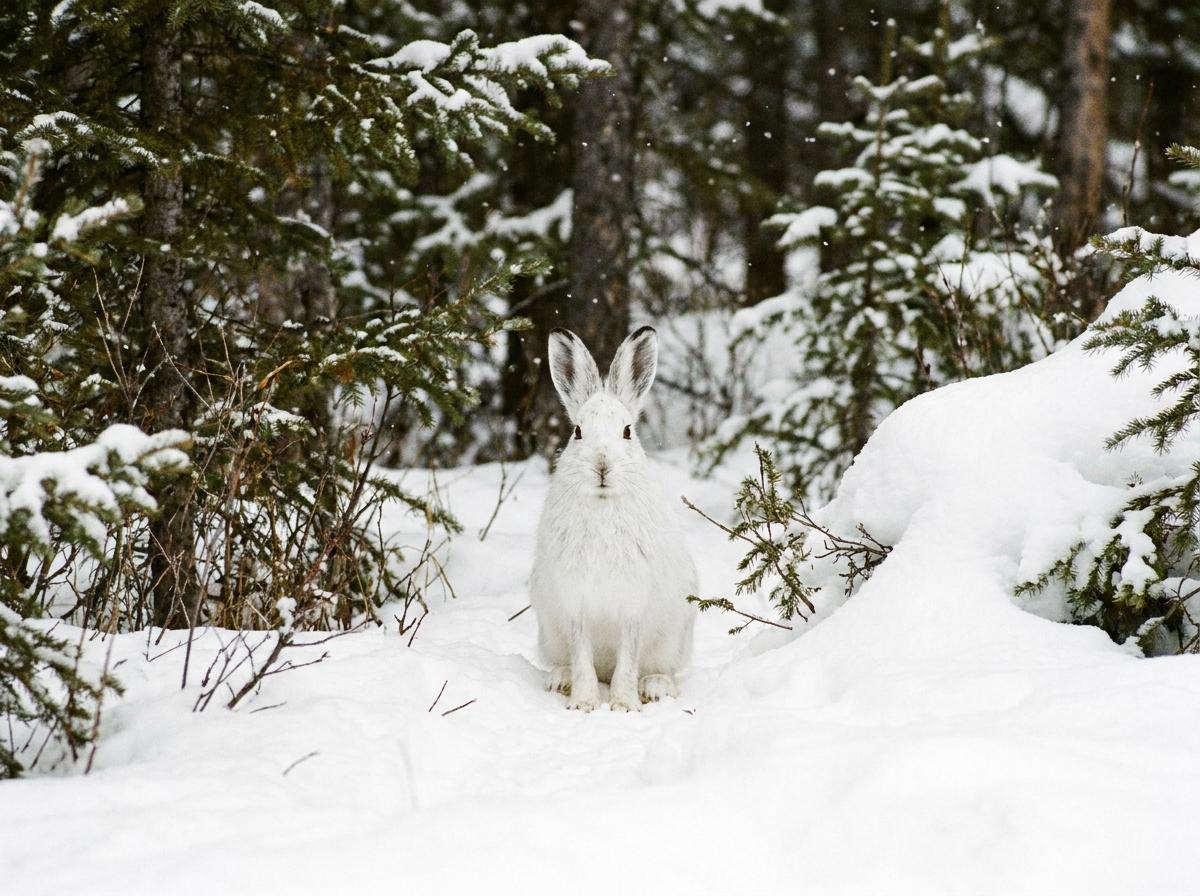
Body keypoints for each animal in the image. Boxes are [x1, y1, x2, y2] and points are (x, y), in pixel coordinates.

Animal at [530, 325, 697, 712]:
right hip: (549, 629)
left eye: (627, 431)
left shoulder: (633, 603)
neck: (603, 502)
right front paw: (583, 704)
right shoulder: (574, 603)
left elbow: (628, 657)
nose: (602, 466)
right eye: (577, 431)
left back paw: (654, 687)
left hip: (673, 636)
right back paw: (559, 681)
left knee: (657, 669)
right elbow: (581, 655)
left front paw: (623, 705)